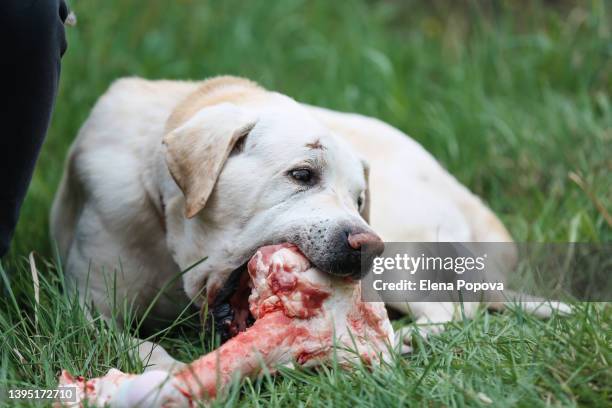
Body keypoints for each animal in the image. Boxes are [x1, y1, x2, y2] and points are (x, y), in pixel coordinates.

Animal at [51, 75, 560, 366]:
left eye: (359, 199)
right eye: (302, 175)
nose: (369, 245)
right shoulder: (83, 306)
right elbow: (132, 343)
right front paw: (167, 370)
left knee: (455, 311)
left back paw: (410, 339)